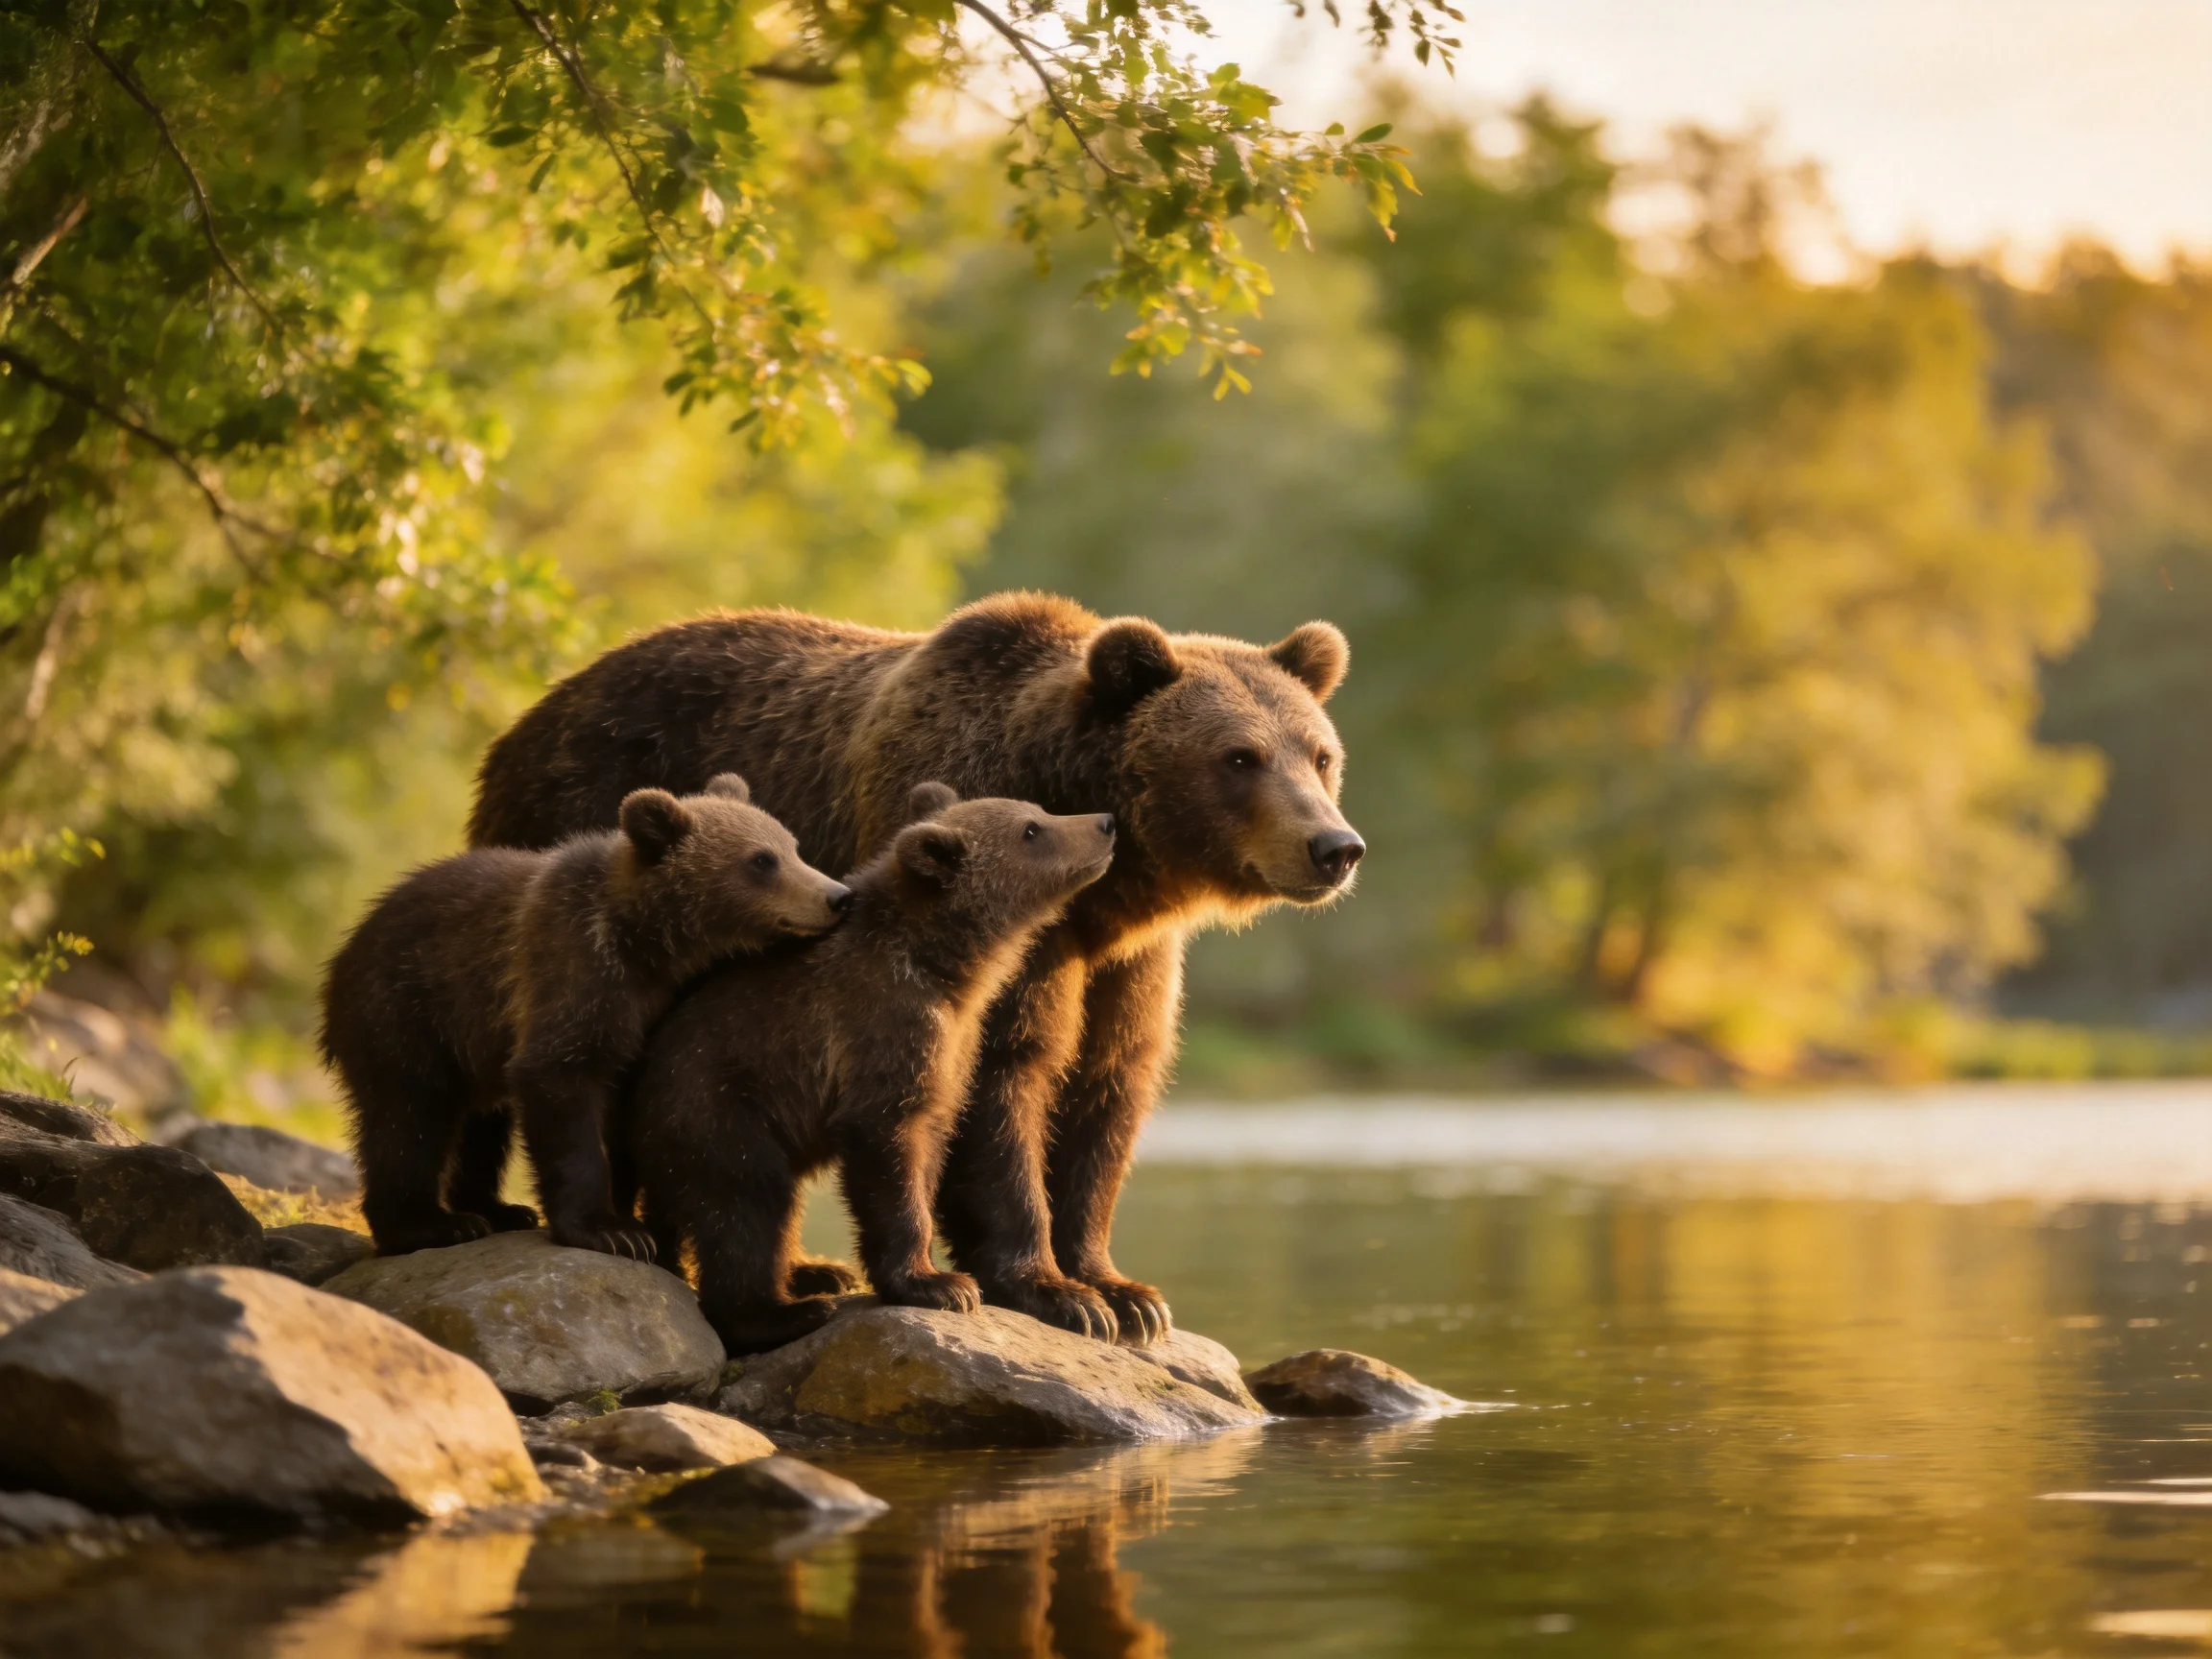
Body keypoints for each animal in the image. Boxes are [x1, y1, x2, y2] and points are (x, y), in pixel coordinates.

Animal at [322, 774, 852, 1260]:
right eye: (762, 860)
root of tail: (348, 944)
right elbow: (562, 1085)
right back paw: (429, 1223)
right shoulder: (575, 971)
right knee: (408, 1115)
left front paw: (630, 1216)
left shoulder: (647, 1018)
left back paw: (496, 1208)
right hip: (408, 1009)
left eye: (792, 847)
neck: (647, 944)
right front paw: (610, 1230)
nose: (838, 895)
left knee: (482, 1125)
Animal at [629, 782, 1120, 1353]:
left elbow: (932, 1139)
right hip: (713, 1105)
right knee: (747, 1202)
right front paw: (940, 1284)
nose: (1105, 822)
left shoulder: (955, 1047)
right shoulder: (882, 1022)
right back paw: (782, 1311)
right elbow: (885, 1138)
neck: (951, 966)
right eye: (1032, 829)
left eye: (1039, 813)